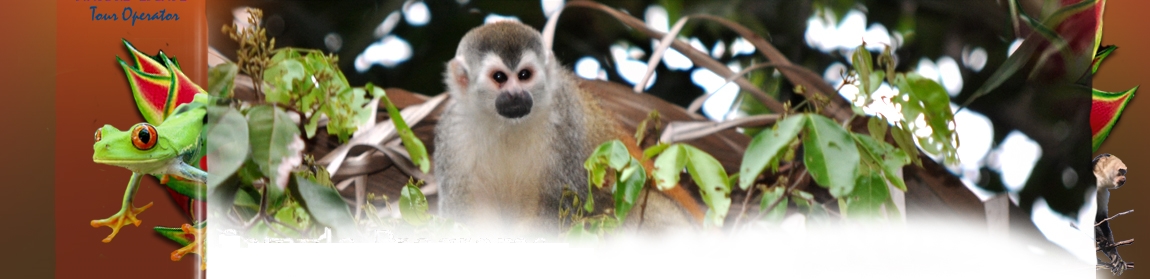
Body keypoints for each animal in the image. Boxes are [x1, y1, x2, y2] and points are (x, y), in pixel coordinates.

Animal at [432, 21, 699, 235]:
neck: (507, 126)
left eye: (524, 75)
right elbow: (461, 211)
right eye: (499, 78)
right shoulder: (453, 133)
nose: (516, 95)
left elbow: (562, 205)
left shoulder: (565, 119)